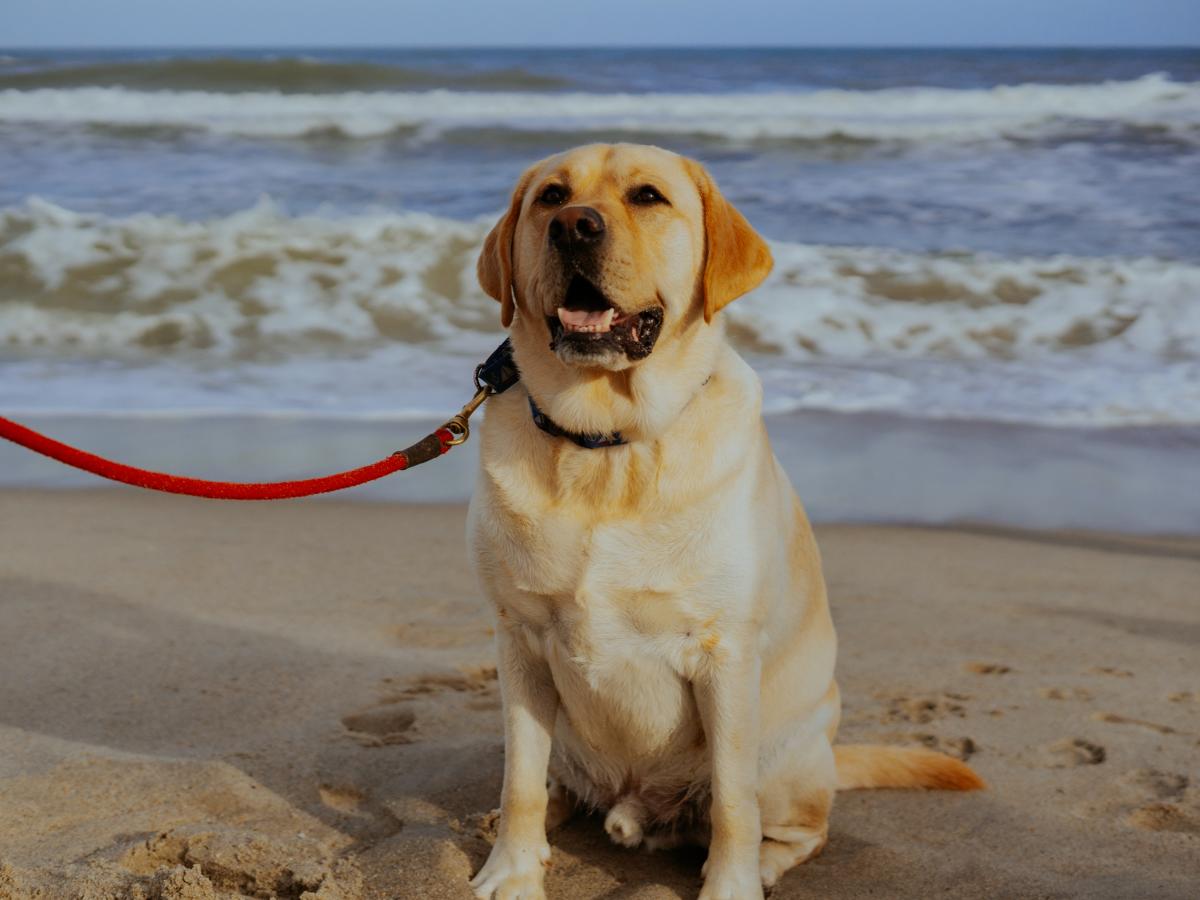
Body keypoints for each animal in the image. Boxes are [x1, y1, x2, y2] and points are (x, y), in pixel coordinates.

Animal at [463, 144, 979, 897]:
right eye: (551, 196)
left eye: (648, 197)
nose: (573, 226)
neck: (608, 446)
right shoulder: (520, 641)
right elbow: (519, 779)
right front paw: (512, 869)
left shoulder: (724, 656)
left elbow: (735, 804)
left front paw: (730, 884)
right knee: (551, 783)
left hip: (785, 750)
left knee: (796, 827)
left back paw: (760, 863)